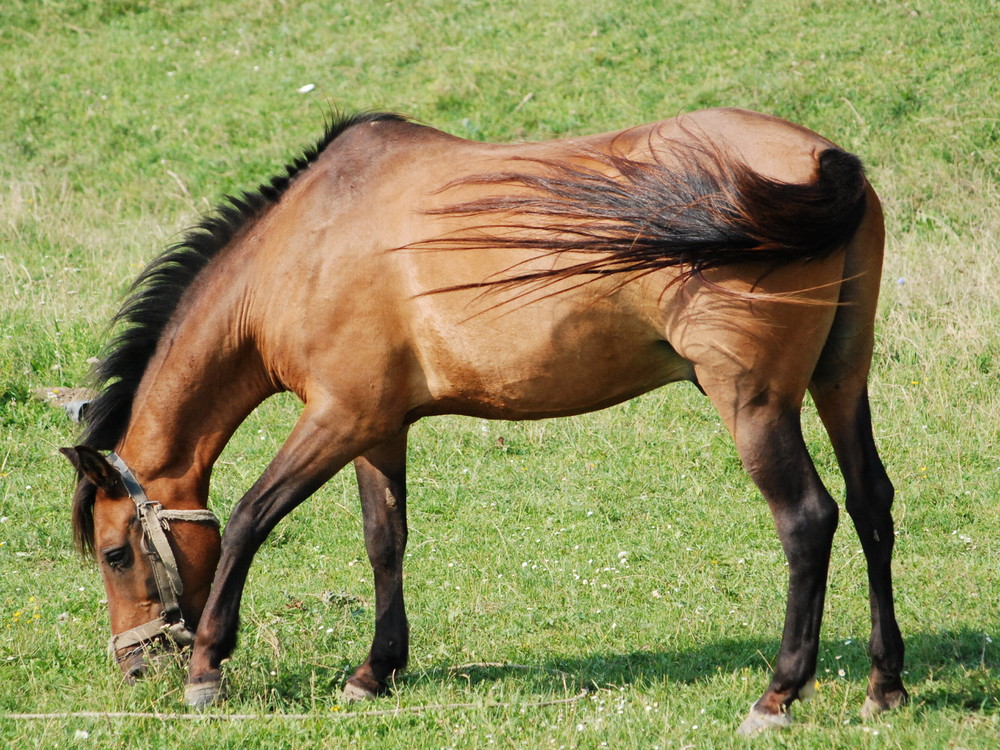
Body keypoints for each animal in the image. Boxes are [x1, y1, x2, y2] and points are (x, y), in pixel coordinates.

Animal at [60, 108, 908, 736]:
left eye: (114, 554)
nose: (135, 667)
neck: (305, 245)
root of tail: (827, 161)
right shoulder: (378, 427)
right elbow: (385, 540)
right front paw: (375, 671)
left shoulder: (338, 417)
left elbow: (246, 519)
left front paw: (208, 667)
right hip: (841, 381)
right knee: (872, 504)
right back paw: (885, 684)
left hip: (754, 403)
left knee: (808, 520)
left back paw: (778, 694)